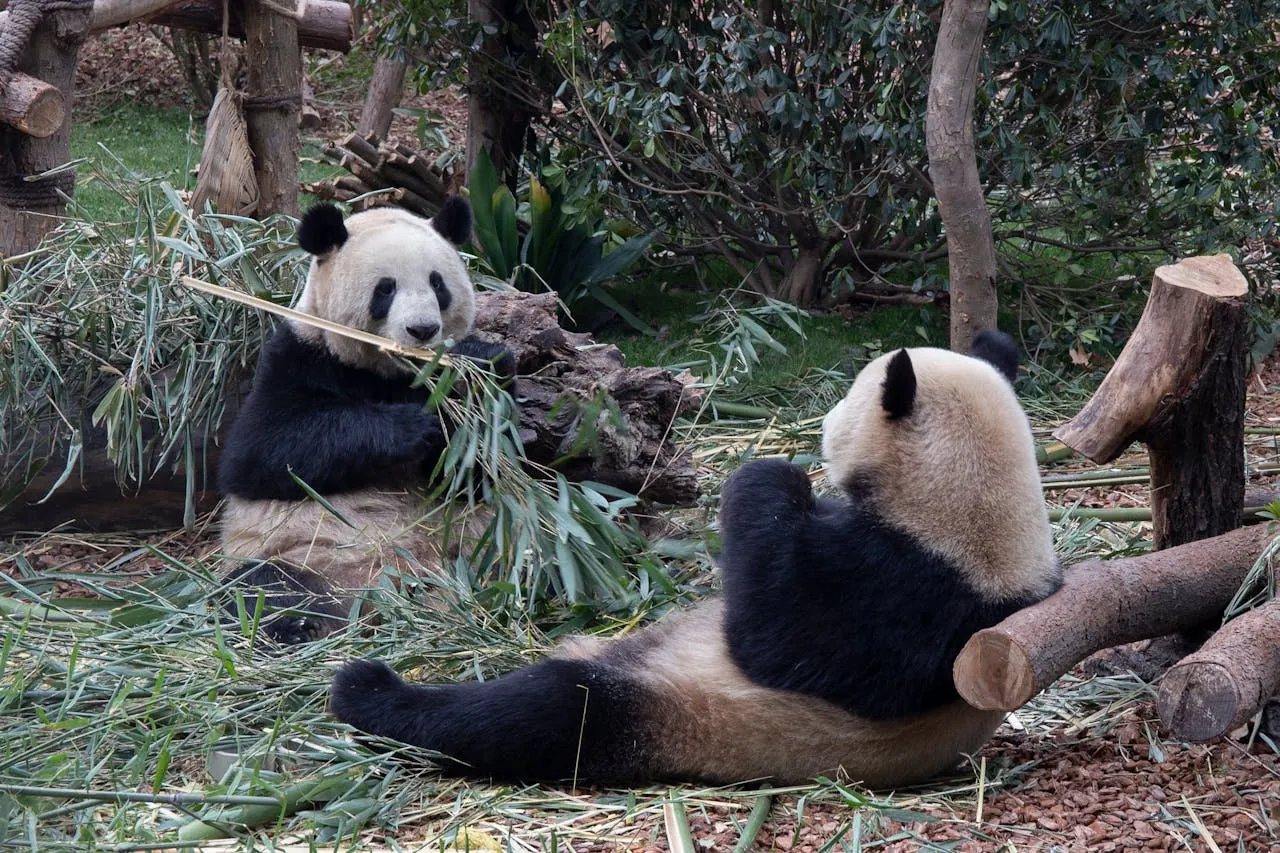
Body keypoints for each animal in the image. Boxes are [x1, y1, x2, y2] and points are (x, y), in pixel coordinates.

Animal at [218, 197, 514, 645]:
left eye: (438, 284)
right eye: (385, 288)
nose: (423, 329)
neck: (396, 372)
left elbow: (476, 473)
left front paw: (480, 365)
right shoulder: (300, 357)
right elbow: (261, 452)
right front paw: (412, 427)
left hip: (480, 546)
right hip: (303, 553)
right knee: (263, 588)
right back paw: (299, 626)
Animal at [327, 330, 1061, 787]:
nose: (824, 420)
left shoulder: (908, 593)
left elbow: (780, 637)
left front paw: (771, 474)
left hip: (675, 714)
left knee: (542, 715)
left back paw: (370, 691)